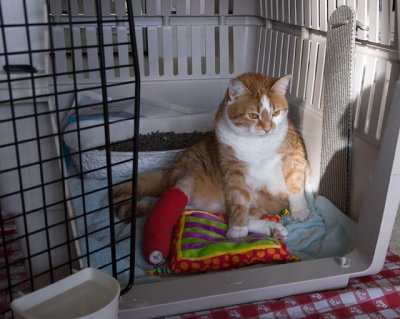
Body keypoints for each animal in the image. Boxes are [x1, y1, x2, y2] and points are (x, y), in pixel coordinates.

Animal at [114, 71, 310, 239]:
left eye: (276, 113)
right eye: (253, 116)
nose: (268, 128)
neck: (257, 144)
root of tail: (168, 171)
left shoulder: (293, 156)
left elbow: (295, 183)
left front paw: (300, 211)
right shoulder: (234, 171)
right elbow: (239, 203)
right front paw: (238, 230)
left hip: (263, 203)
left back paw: (274, 228)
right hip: (188, 180)